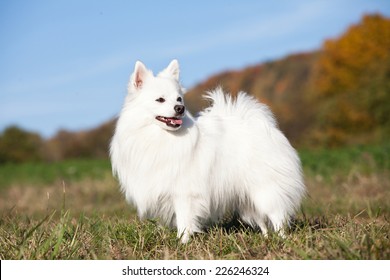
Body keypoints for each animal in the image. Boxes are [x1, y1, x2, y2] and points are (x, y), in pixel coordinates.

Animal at [109, 59, 304, 243]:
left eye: (179, 99)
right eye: (160, 99)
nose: (180, 109)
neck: (161, 137)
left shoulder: (184, 194)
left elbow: (184, 222)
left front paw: (182, 244)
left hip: (265, 191)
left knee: (277, 217)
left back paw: (282, 241)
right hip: (248, 199)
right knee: (263, 221)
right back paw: (266, 240)